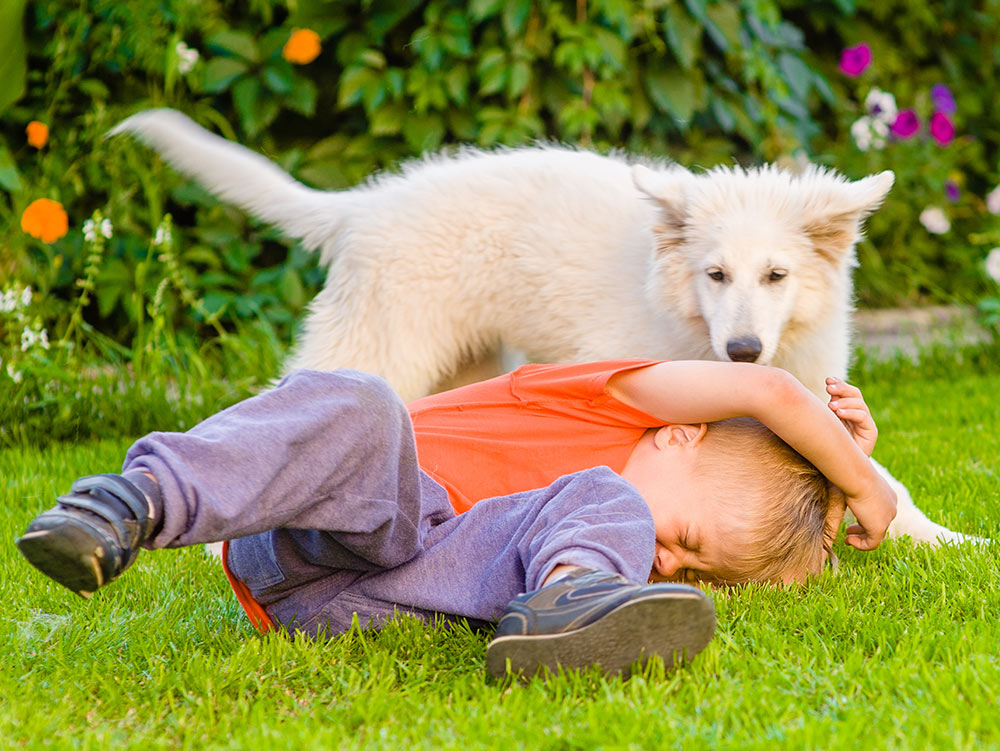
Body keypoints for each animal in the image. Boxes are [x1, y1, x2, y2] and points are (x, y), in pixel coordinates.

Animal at [109, 108, 976, 548]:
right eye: (715, 275)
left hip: (464, 358)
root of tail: (362, 206)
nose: (742, 351)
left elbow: (873, 472)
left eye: (777, 276)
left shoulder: (805, 383)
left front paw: (943, 539)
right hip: (382, 338)